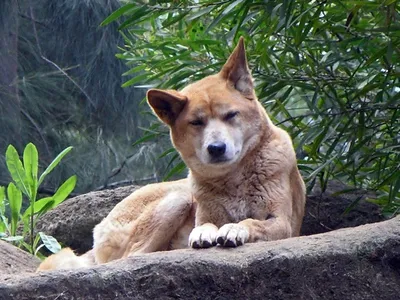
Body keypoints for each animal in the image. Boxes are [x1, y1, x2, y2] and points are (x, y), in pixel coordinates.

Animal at [38, 38, 306, 272]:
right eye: (196, 122)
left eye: (231, 115)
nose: (216, 148)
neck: (234, 180)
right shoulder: (206, 213)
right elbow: (206, 224)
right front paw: (204, 232)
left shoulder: (282, 223)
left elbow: (251, 221)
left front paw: (233, 228)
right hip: (179, 197)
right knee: (131, 257)